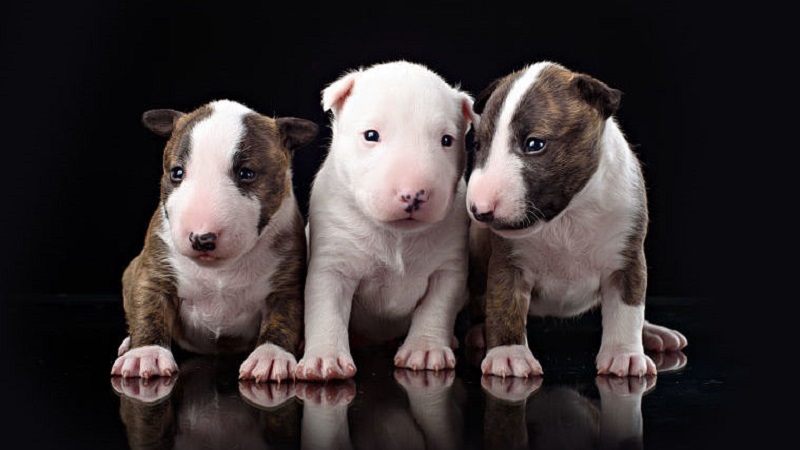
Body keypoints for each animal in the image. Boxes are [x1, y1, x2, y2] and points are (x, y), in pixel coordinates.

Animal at [111, 99, 318, 384]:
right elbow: (149, 308)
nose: (201, 238)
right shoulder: (154, 271)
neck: (220, 270)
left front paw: (270, 356)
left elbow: (284, 318)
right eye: (177, 172)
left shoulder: (287, 284)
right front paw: (146, 353)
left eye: (246, 173)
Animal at [298, 60, 476, 380]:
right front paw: (325, 359)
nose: (413, 194)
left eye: (447, 140)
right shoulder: (331, 265)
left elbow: (437, 306)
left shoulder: (449, 269)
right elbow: (326, 309)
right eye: (371, 135)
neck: (397, 235)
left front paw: (426, 349)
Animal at [468, 61, 688, 378]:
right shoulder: (507, 263)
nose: (479, 209)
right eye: (478, 145)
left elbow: (628, 308)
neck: (567, 218)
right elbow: (504, 304)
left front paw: (625, 354)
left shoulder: (627, 259)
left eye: (534, 144)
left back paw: (653, 333)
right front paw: (508, 354)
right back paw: (479, 332)